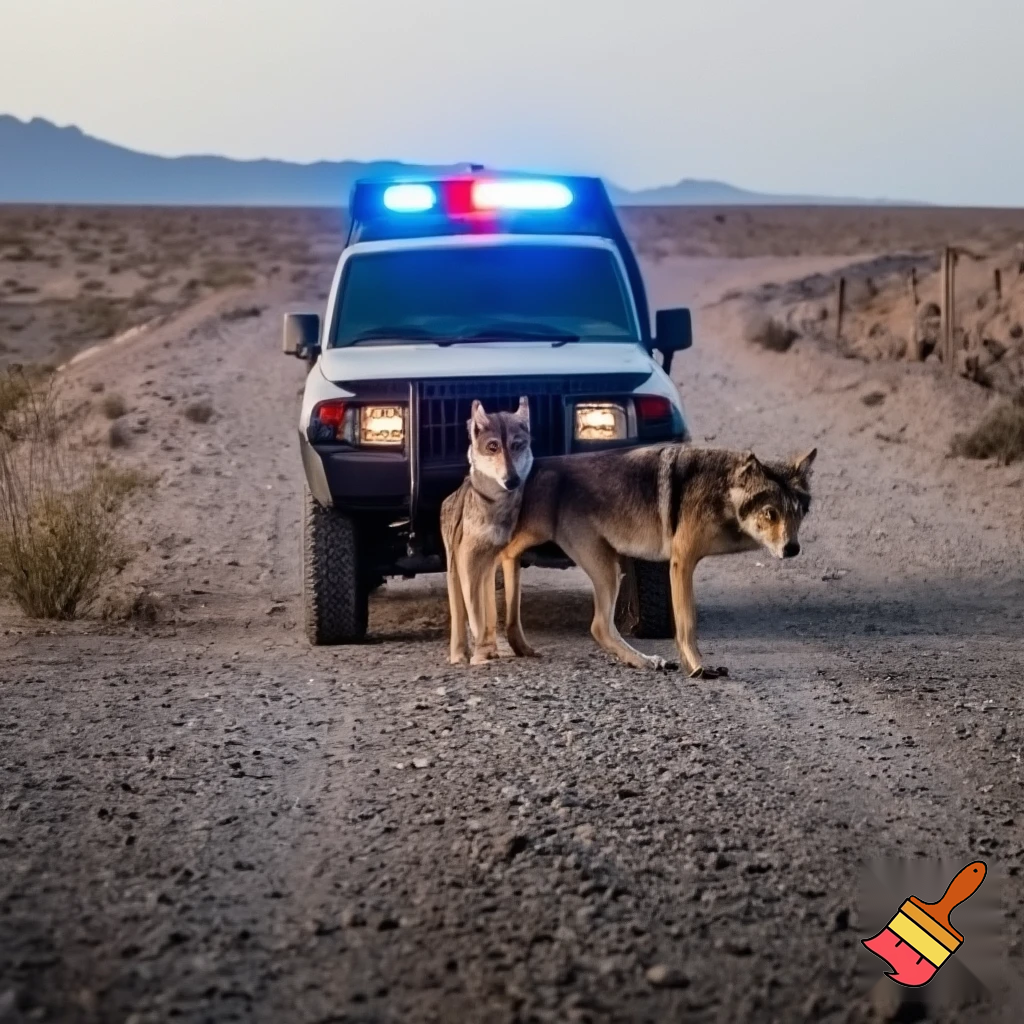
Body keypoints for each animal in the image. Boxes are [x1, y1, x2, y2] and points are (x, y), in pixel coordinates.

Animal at [440, 397, 536, 665]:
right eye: (493, 447)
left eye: (516, 445)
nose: (512, 480)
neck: (496, 506)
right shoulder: (467, 560)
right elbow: (476, 614)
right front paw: (480, 654)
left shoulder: (508, 557)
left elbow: (511, 614)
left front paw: (520, 648)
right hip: (455, 568)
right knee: (460, 616)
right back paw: (460, 656)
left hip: (487, 567)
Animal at [488, 443, 818, 677]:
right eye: (770, 513)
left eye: (799, 512)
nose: (792, 549)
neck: (723, 491)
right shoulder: (682, 560)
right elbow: (687, 624)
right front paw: (697, 668)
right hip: (606, 568)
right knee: (598, 626)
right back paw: (646, 661)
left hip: (600, 564)